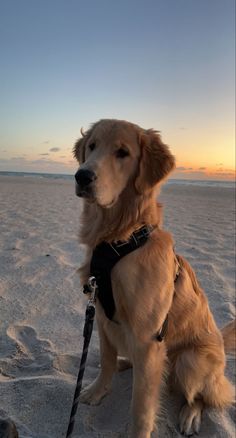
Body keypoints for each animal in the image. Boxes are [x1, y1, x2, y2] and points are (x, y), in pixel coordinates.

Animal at [73, 118, 234, 436]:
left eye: (122, 153)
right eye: (92, 146)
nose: (82, 176)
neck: (118, 240)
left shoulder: (149, 340)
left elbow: (142, 405)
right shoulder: (101, 316)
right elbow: (106, 360)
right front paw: (97, 392)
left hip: (190, 360)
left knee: (203, 396)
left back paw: (190, 415)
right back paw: (125, 363)